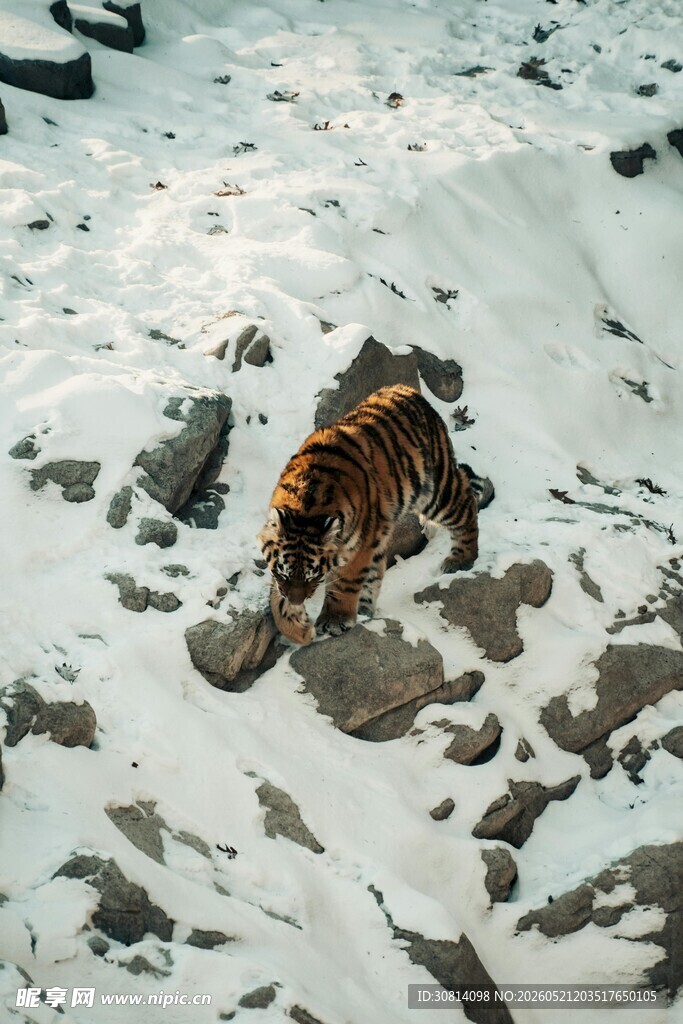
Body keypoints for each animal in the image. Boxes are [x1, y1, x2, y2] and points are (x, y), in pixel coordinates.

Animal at [257, 383, 493, 646]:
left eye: (312, 577)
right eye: (284, 573)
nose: (298, 600)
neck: (305, 506)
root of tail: (408, 390)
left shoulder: (358, 546)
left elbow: (344, 584)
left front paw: (334, 621)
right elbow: (276, 598)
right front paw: (296, 628)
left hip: (435, 491)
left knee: (465, 502)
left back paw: (461, 559)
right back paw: (365, 609)